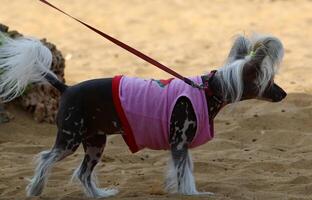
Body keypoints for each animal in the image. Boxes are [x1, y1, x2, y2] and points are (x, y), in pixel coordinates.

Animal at [0, 33, 286, 198]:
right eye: (269, 81)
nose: (283, 94)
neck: (207, 90)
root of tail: (66, 88)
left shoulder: (181, 146)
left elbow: (185, 171)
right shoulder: (179, 143)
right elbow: (184, 174)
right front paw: (192, 194)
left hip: (95, 143)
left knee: (83, 173)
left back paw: (99, 195)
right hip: (70, 139)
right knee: (46, 158)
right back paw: (35, 189)